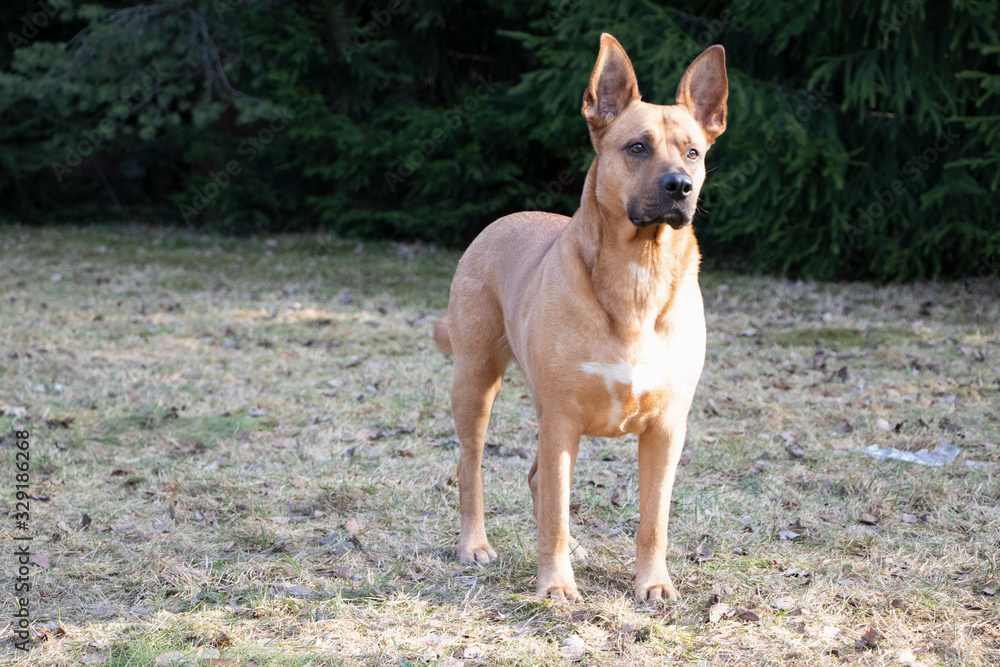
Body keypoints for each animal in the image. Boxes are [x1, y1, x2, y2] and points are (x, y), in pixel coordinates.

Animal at [432, 32, 728, 604]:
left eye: (693, 151)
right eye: (636, 147)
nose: (680, 186)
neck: (640, 273)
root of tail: (501, 220)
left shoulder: (666, 428)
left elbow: (653, 520)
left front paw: (653, 583)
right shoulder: (562, 417)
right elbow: (552, 513)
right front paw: (556, 585)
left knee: (538, 480)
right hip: (476, 382)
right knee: (472, 466)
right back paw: (475, 545)